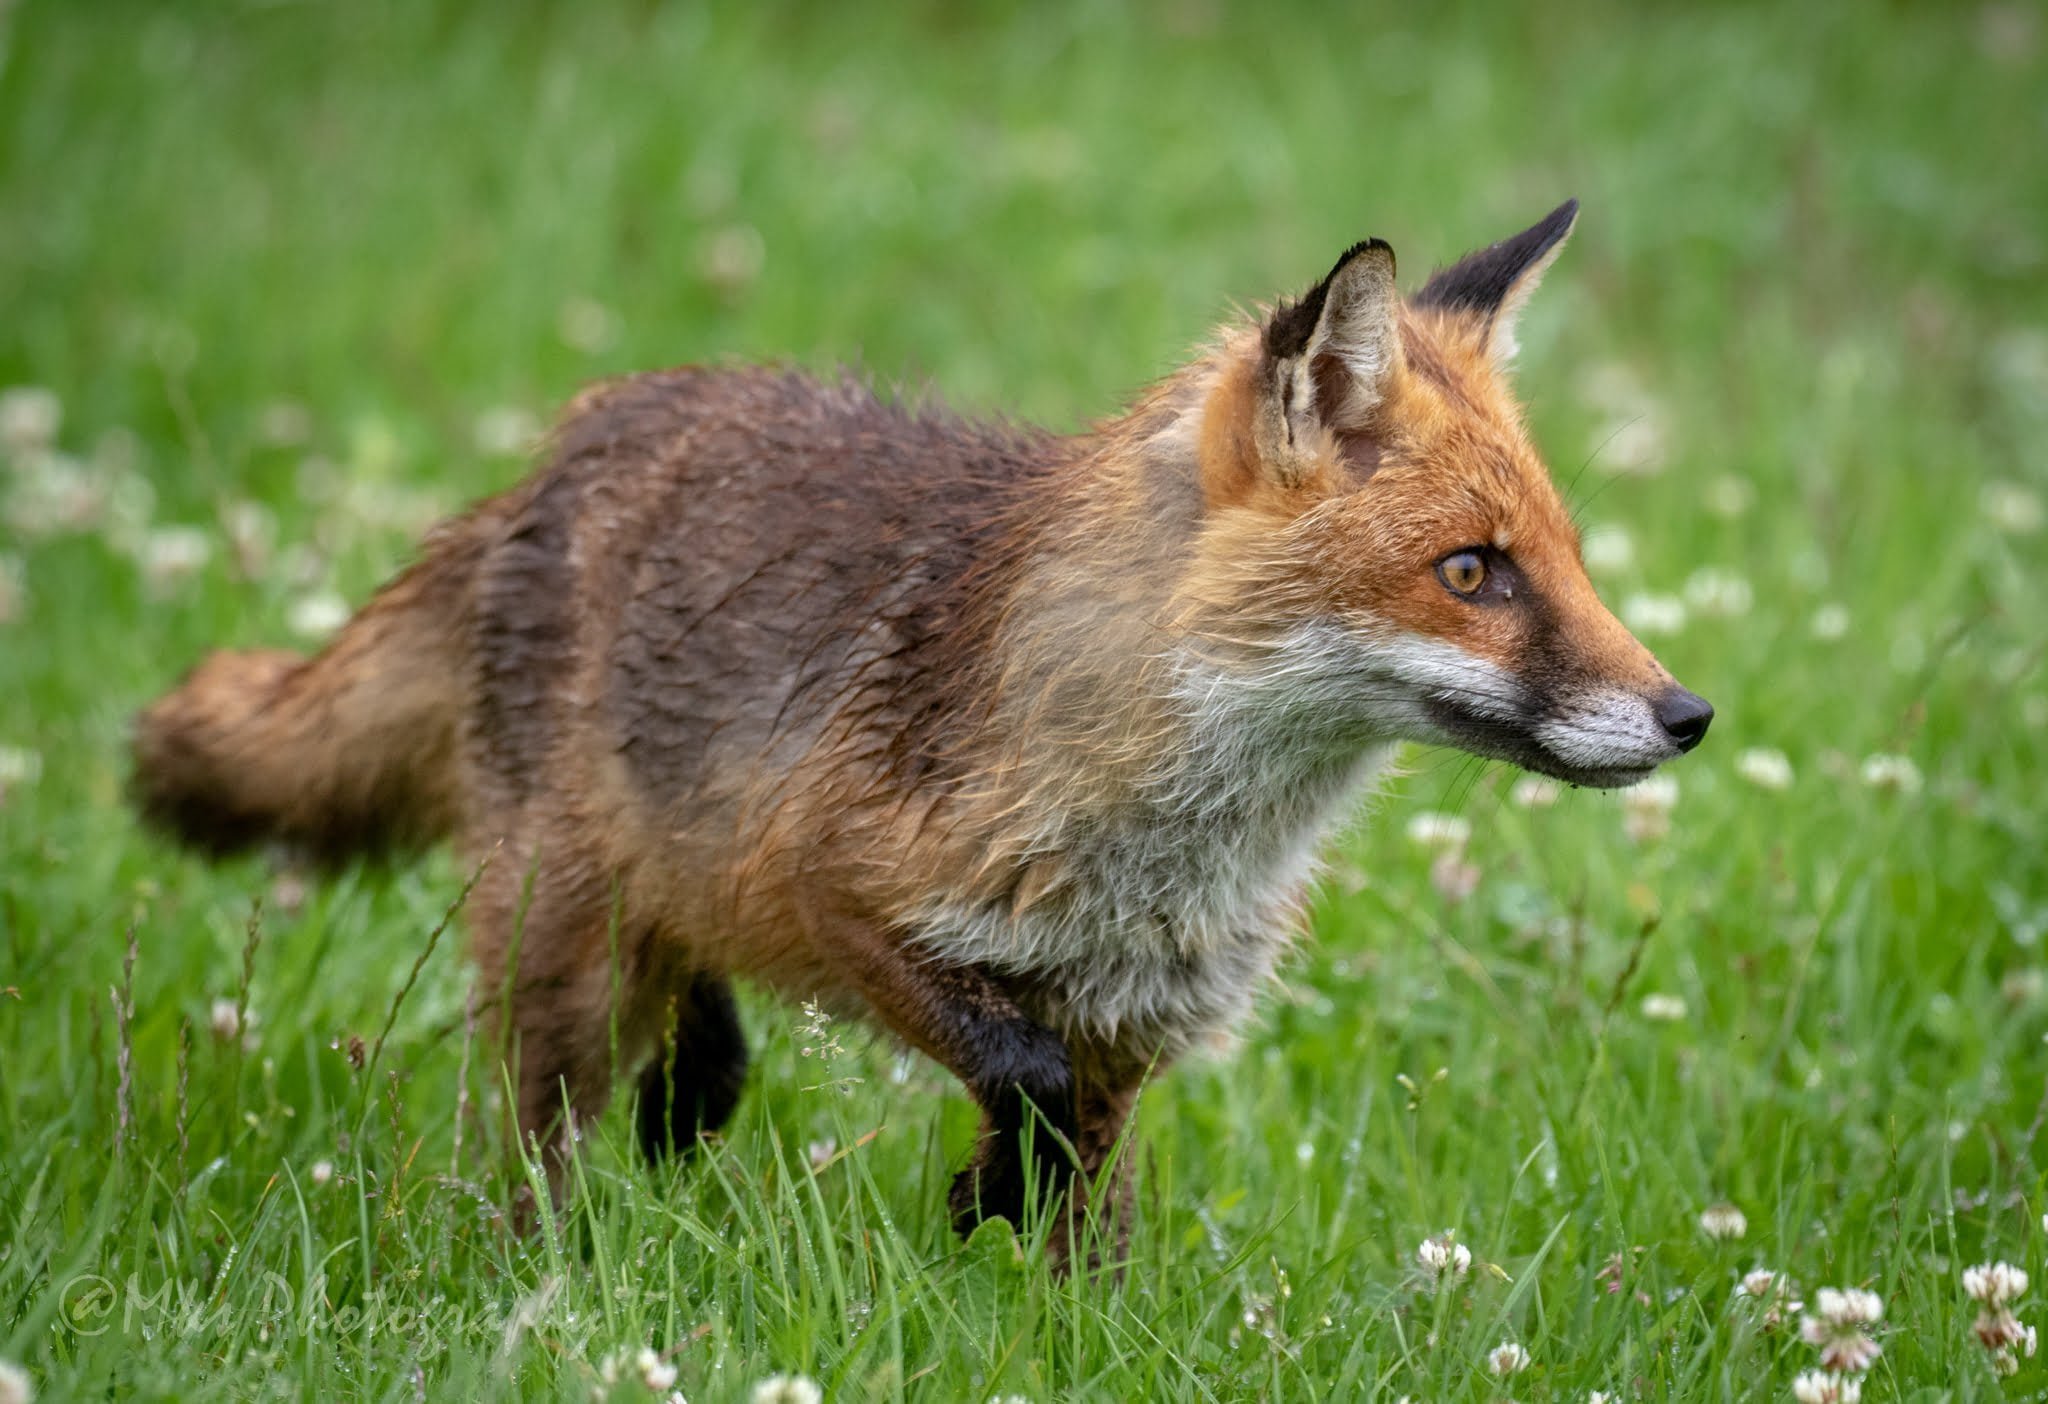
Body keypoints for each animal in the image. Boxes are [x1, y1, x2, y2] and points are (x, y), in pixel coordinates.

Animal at [133, 200, 1711, 1266]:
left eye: (1565, 560)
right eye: (1471, 572)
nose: (1688, 717)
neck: (1166, 842)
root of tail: (560, 448)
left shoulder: (1133, 1026)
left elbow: (1087, 1201)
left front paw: (1036, 1278)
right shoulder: (832, 890)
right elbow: (1018, 1083)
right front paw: (984, 1200)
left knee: (687, 1035)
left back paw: (689, 1099)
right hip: (561, 953)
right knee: (548, 1132)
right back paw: (549, 1261)